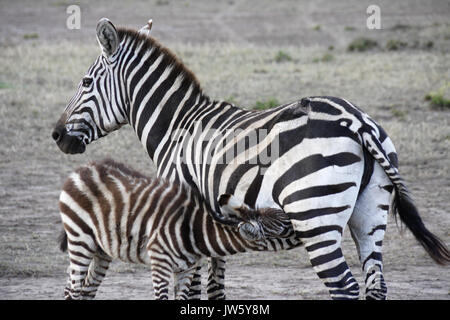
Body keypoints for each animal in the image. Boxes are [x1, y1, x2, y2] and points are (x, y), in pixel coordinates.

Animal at [59, 159, 298, 298]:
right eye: (283, 228)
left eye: (283, 216)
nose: (299, 224)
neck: (195, 231)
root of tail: (83, 168)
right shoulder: (160, 263)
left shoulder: (187, 269)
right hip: (80, 239)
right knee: (72, 289)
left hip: (101, 248)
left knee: (86, 288)